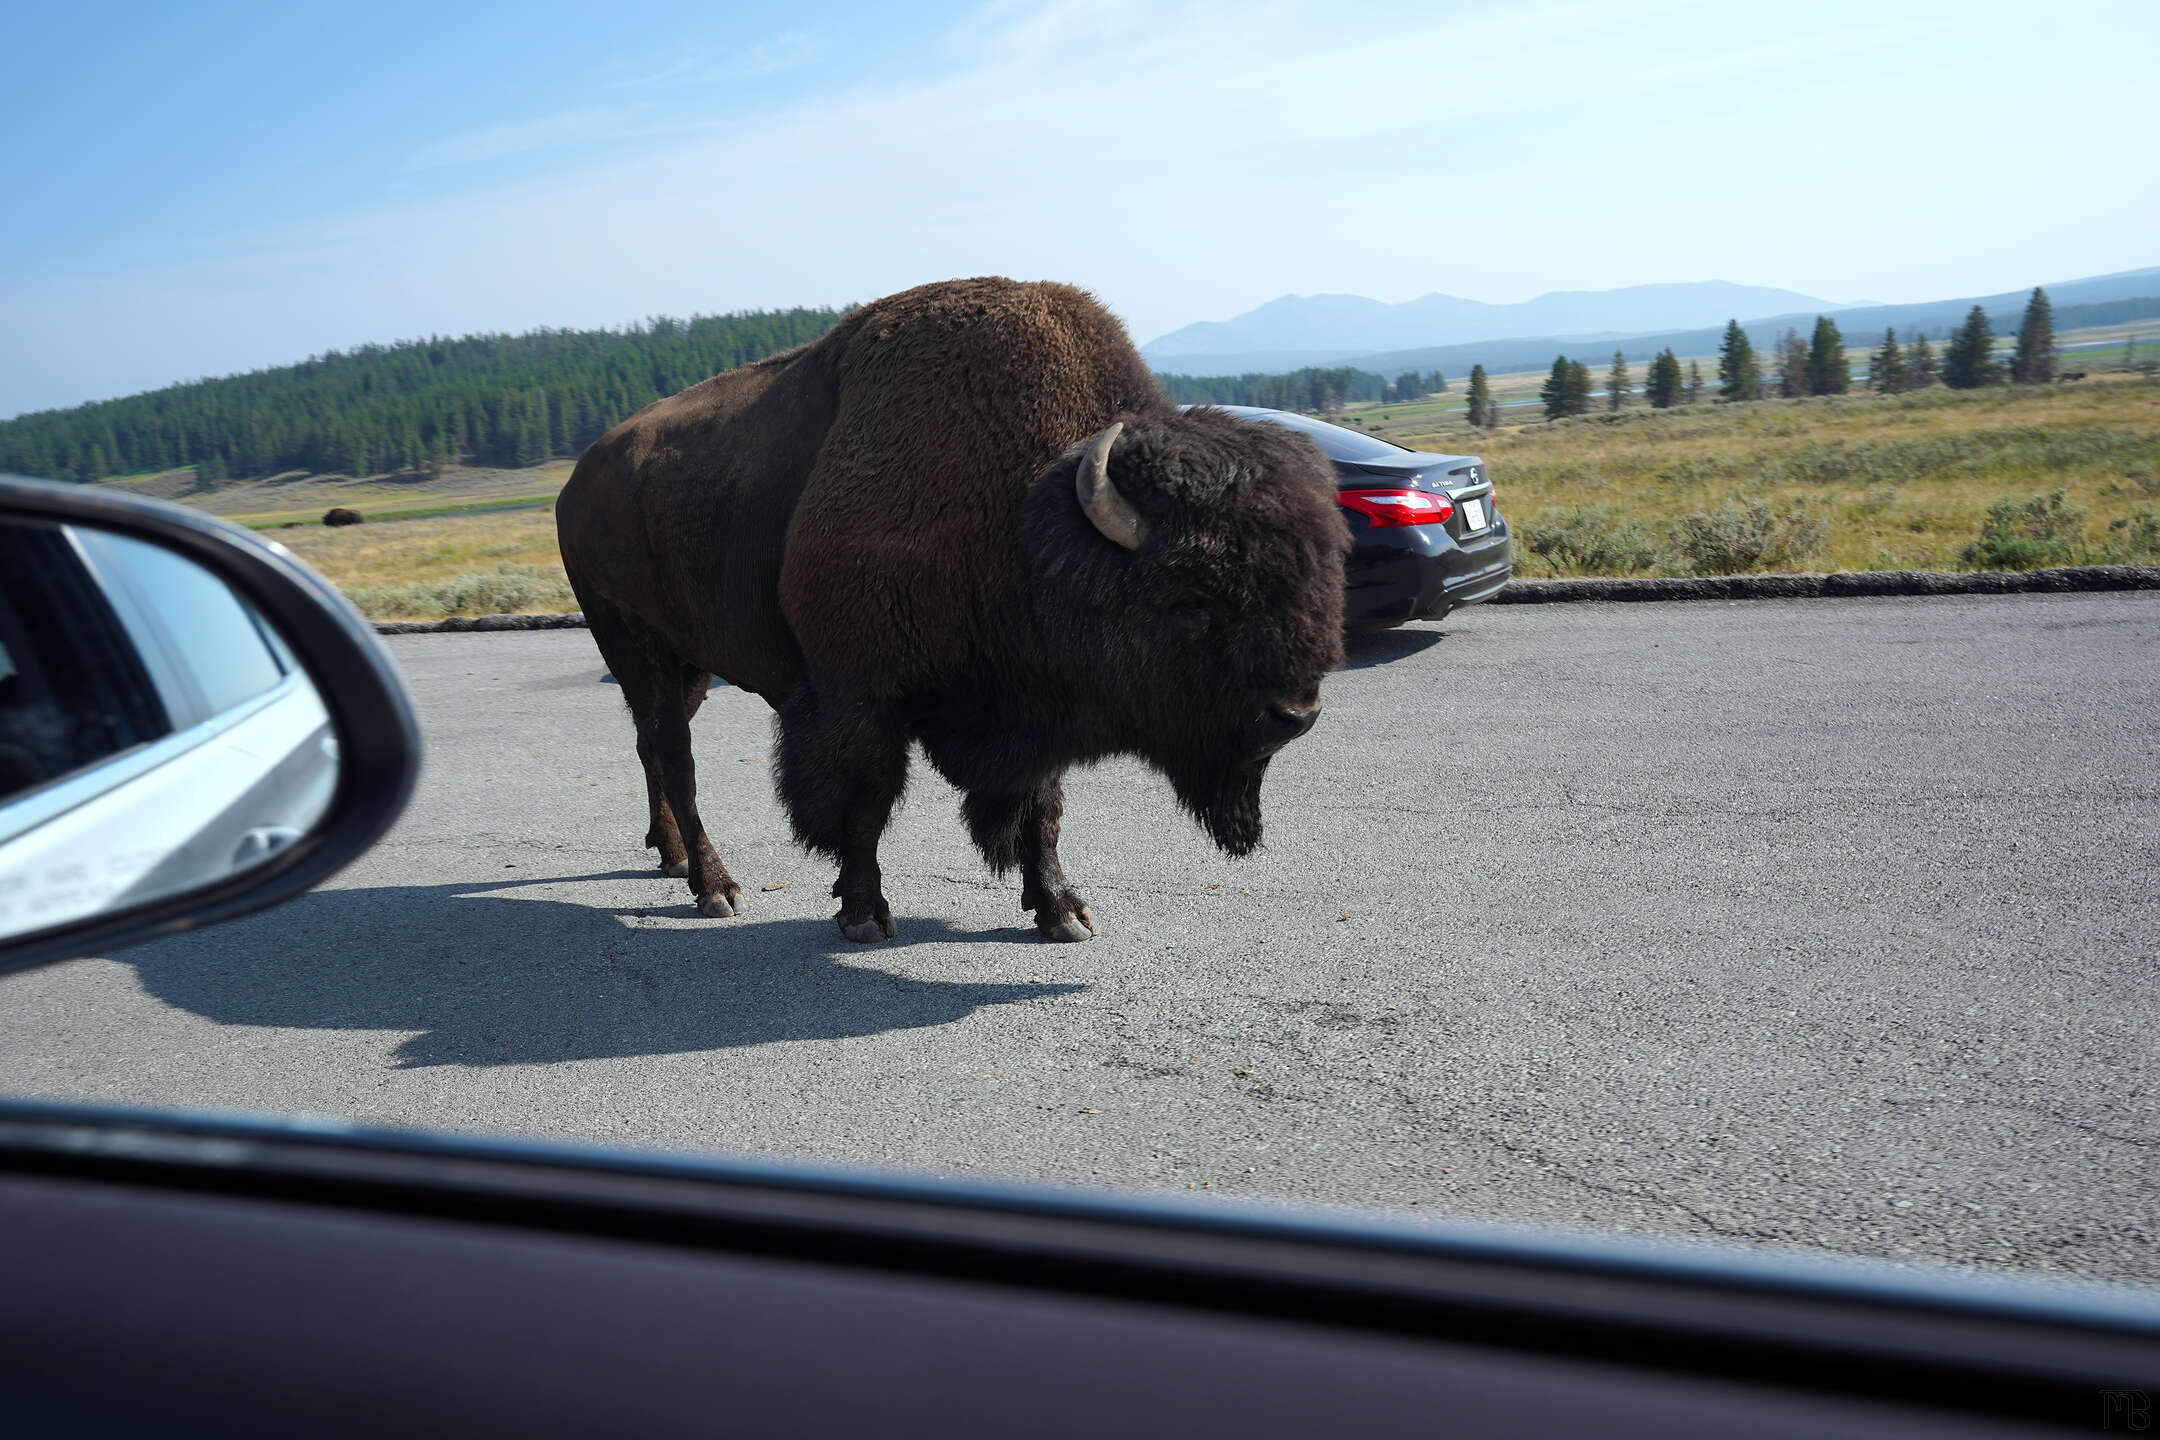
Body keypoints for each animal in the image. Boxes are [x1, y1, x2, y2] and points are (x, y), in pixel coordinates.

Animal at [548, 278, 1339, 945]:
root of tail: (578, 478)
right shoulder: (857, 697)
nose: (1296, 715)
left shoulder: (1034, 706)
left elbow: (1041, 808)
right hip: (635, 646)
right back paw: (715, 886)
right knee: (674, 755)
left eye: (1315, 580)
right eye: (1194, 600)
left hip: (683, 666)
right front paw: (863, 914)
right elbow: (865, 803)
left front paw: (1062, 912)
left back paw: (674, 860)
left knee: (653, 747)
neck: (1024, 519)